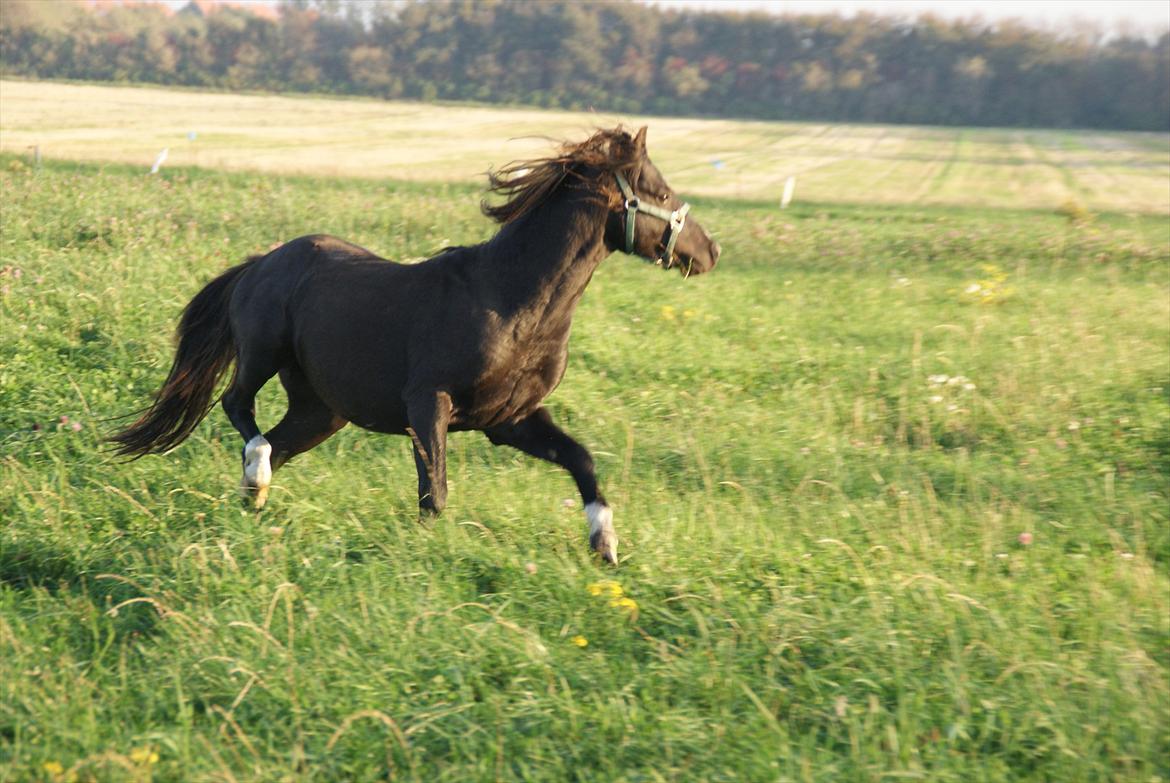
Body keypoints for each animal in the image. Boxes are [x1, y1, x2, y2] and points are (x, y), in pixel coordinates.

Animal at [110, 126, 720, 564]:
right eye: (662, 192)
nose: (710, 251)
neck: (513, 303)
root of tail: (261, 261)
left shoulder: (510, 420)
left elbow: (580, 458)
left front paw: (605, 544)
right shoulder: (429, 403)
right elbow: (435, 489)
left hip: (321, 411)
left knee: (277, 443)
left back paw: (252, 501)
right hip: (264, 352)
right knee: (239, 409)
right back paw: (255, 475)